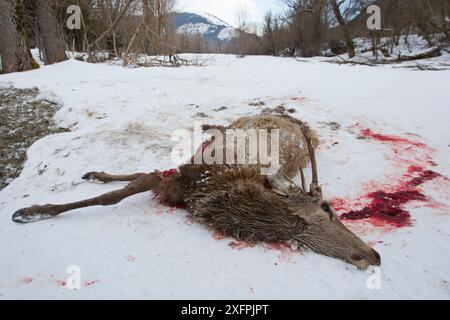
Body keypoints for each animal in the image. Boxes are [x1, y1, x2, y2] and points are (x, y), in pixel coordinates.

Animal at [11, 114, 380, 268]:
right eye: (327, 209)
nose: (374, 255)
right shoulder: (186, 177)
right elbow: (116, 195)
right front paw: (30, 211)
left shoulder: (181, 185)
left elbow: (138, 180)